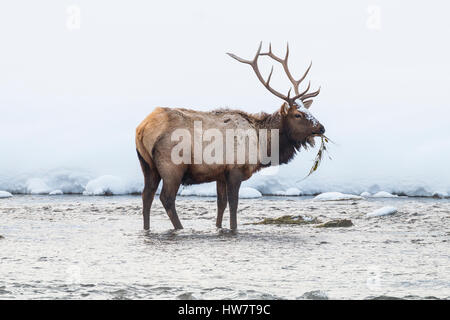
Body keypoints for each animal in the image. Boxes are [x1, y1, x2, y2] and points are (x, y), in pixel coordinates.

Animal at [135, 42, 326, 231]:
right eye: (297, 115)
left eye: (309, 110)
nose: (321, 128)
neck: (263, 146)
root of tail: (142, 128)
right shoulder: (235, 169)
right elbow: (233, 203)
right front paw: (234, 228)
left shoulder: (220, 174)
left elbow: (221, 204)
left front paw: (219, 227)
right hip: (172, 166)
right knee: (166, 198)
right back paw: (180, 228)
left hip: (148, 166)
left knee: (146, 196)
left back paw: (146, 228)